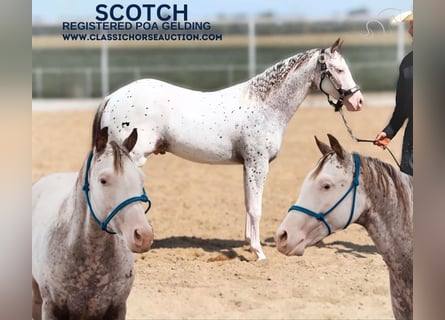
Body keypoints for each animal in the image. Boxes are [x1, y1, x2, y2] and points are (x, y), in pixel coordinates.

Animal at [95, 37, 362, 260]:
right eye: (339, 70)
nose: (357, 101)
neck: (264, 106)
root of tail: (112, 97)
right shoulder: (258, 164)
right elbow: (256, 208)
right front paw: (258, 253)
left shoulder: (247, 165)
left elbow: (247, 204)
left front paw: (250, 243)